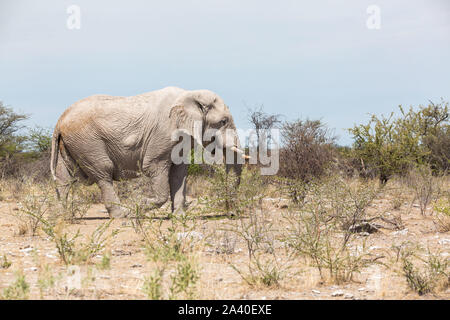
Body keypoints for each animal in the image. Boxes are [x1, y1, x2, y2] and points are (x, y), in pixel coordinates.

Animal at [50, 86, 248, 219]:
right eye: (223, 121)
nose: (232, 214)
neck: (190, 95)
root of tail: (60, 120)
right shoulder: (164, 134)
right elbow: (153, 166)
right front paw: (140, 205)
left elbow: (179, 173)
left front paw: (179, 217)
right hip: (88, 142)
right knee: (103, 173)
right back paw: (123, 215)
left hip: (71, 143)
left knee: (64, 178)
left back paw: (62, 217)